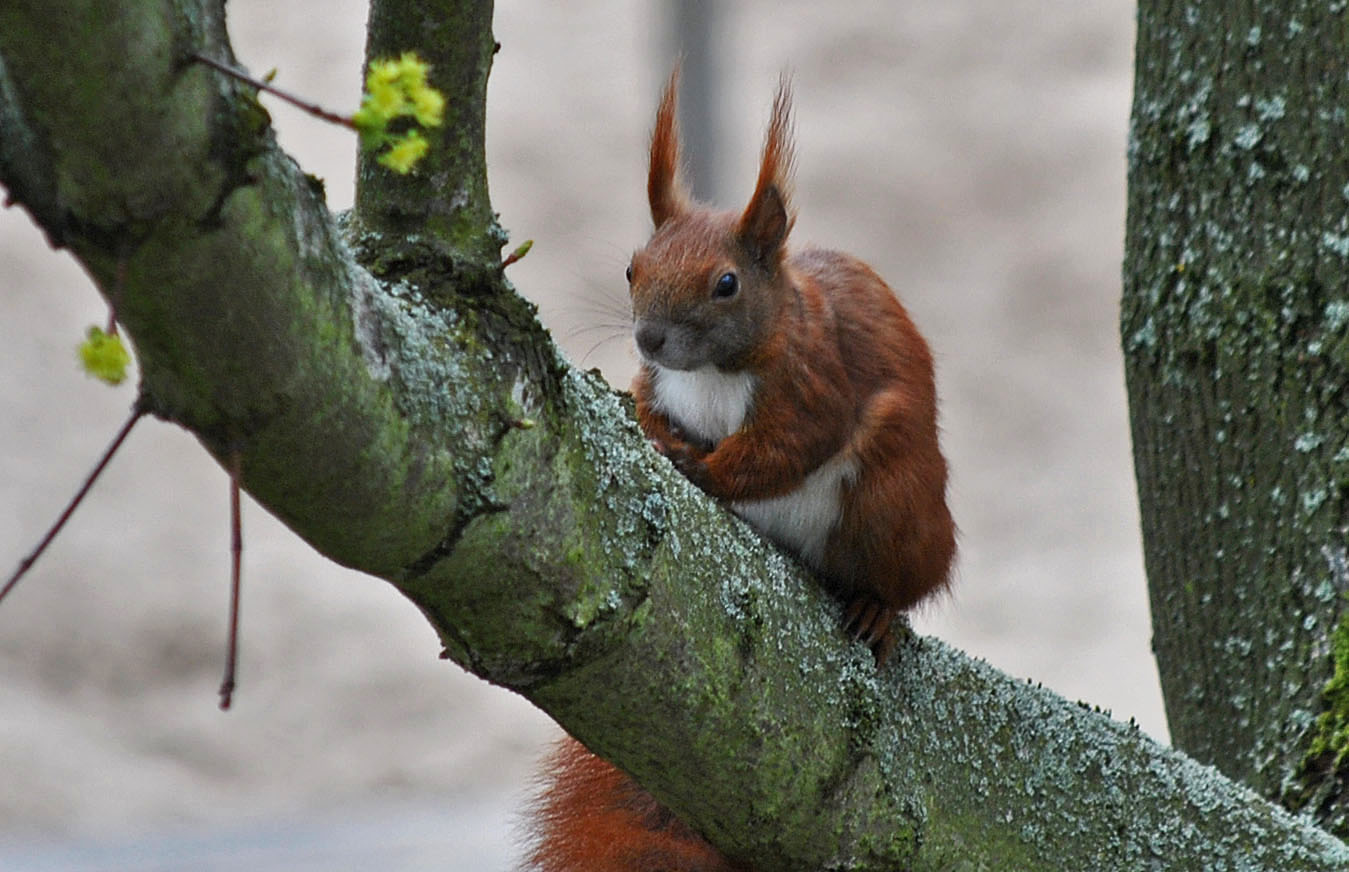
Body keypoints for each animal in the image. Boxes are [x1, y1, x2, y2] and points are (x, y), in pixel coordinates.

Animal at [520, 73, 955, 872]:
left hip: (893, 503)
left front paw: (697, 465)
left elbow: (778, 452)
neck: (716, 372)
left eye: (725, 284)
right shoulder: (657, 382)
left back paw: (877, 607)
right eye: (631, 268)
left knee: (900, 577)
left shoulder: (816, 386)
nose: (650, 337)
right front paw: (655, 433)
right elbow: (645, 403)